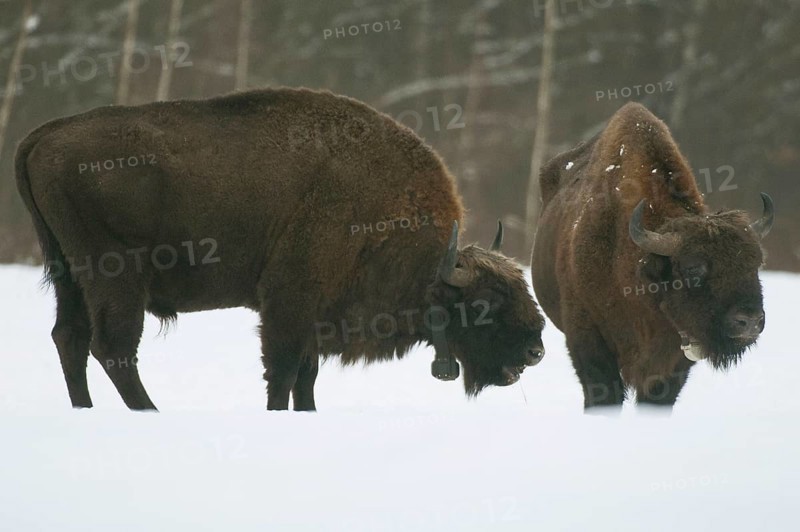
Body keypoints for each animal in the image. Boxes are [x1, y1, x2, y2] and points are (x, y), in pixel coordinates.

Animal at [16, 87, 545, 411]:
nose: (536, 350)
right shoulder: (289, 303)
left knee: (70, 338)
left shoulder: (316, 314)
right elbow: (284, 372)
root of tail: (44, 134)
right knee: (113, 348)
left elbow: (306, 378)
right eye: (485, 302)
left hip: (69, 274)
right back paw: (151, 412)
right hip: (116, 276)